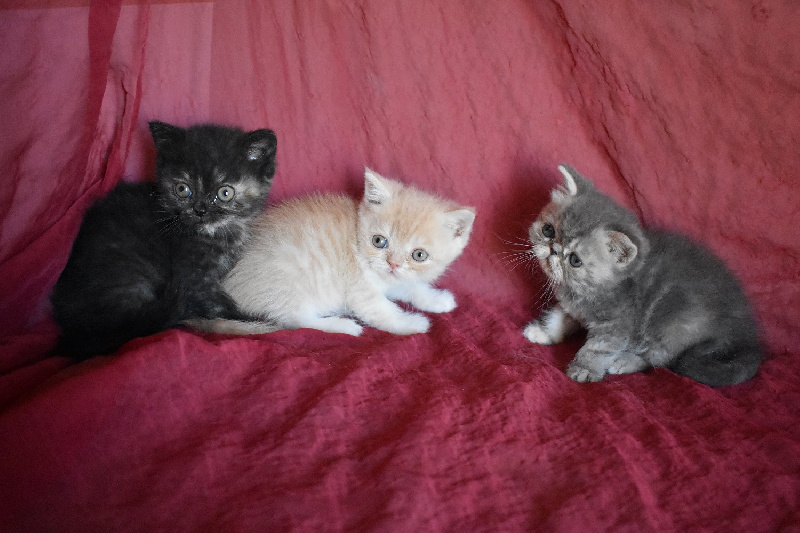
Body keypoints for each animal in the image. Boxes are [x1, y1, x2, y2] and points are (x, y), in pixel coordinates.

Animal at [51, 120, 278, 358]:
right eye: (182, 189)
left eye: (225, 193)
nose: (200, 210)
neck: (215, 232)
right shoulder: (193, 276)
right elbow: (217, 303)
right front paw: (250, 319)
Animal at [188, 166, 476, 334]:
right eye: (379, 241)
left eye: (419, 255)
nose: (393, 264)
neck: (357, 239)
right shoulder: (361, 291)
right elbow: (382, 312)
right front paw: (413, 323)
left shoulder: (394, 279)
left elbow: (411, 287)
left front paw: (436, 299)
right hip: (289, 283)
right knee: (297, 320)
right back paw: (343, 325)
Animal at [520, 164, 760, 384]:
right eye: (548, 230)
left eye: (575, 260)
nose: (554, 249)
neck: (586, 290)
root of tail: (746, 332)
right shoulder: (572, 308)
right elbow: (557, 318)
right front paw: (543, 332)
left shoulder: (616, 325)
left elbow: (598, 348)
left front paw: (584, 369)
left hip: (675, 323)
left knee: (660, 357)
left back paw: (625, 361)